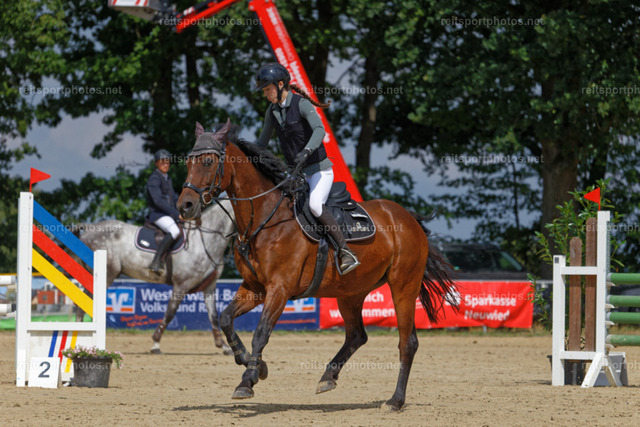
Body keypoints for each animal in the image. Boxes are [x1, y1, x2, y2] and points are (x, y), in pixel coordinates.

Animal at [75, 200, 235, 355]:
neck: (205, 241)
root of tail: (90, 227)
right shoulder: (182, 284)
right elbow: (170, 313)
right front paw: (156, 344)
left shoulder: (209, 286)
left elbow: (213, 316)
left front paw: (224, 346)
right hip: (107, 274)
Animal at [177, 120, 458, 412]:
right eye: (188, 161)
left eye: (208, 161)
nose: (185, 205)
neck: (264, 219)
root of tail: (409, 218)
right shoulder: (255, 288)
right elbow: (225, 319)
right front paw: (252, 364)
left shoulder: (279, 290)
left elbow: (261, 333)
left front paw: (249, 378)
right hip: (351, 292)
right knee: (357, 335)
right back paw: (328, 377)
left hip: (403, 285)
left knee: (407, 342)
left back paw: (395, 400)